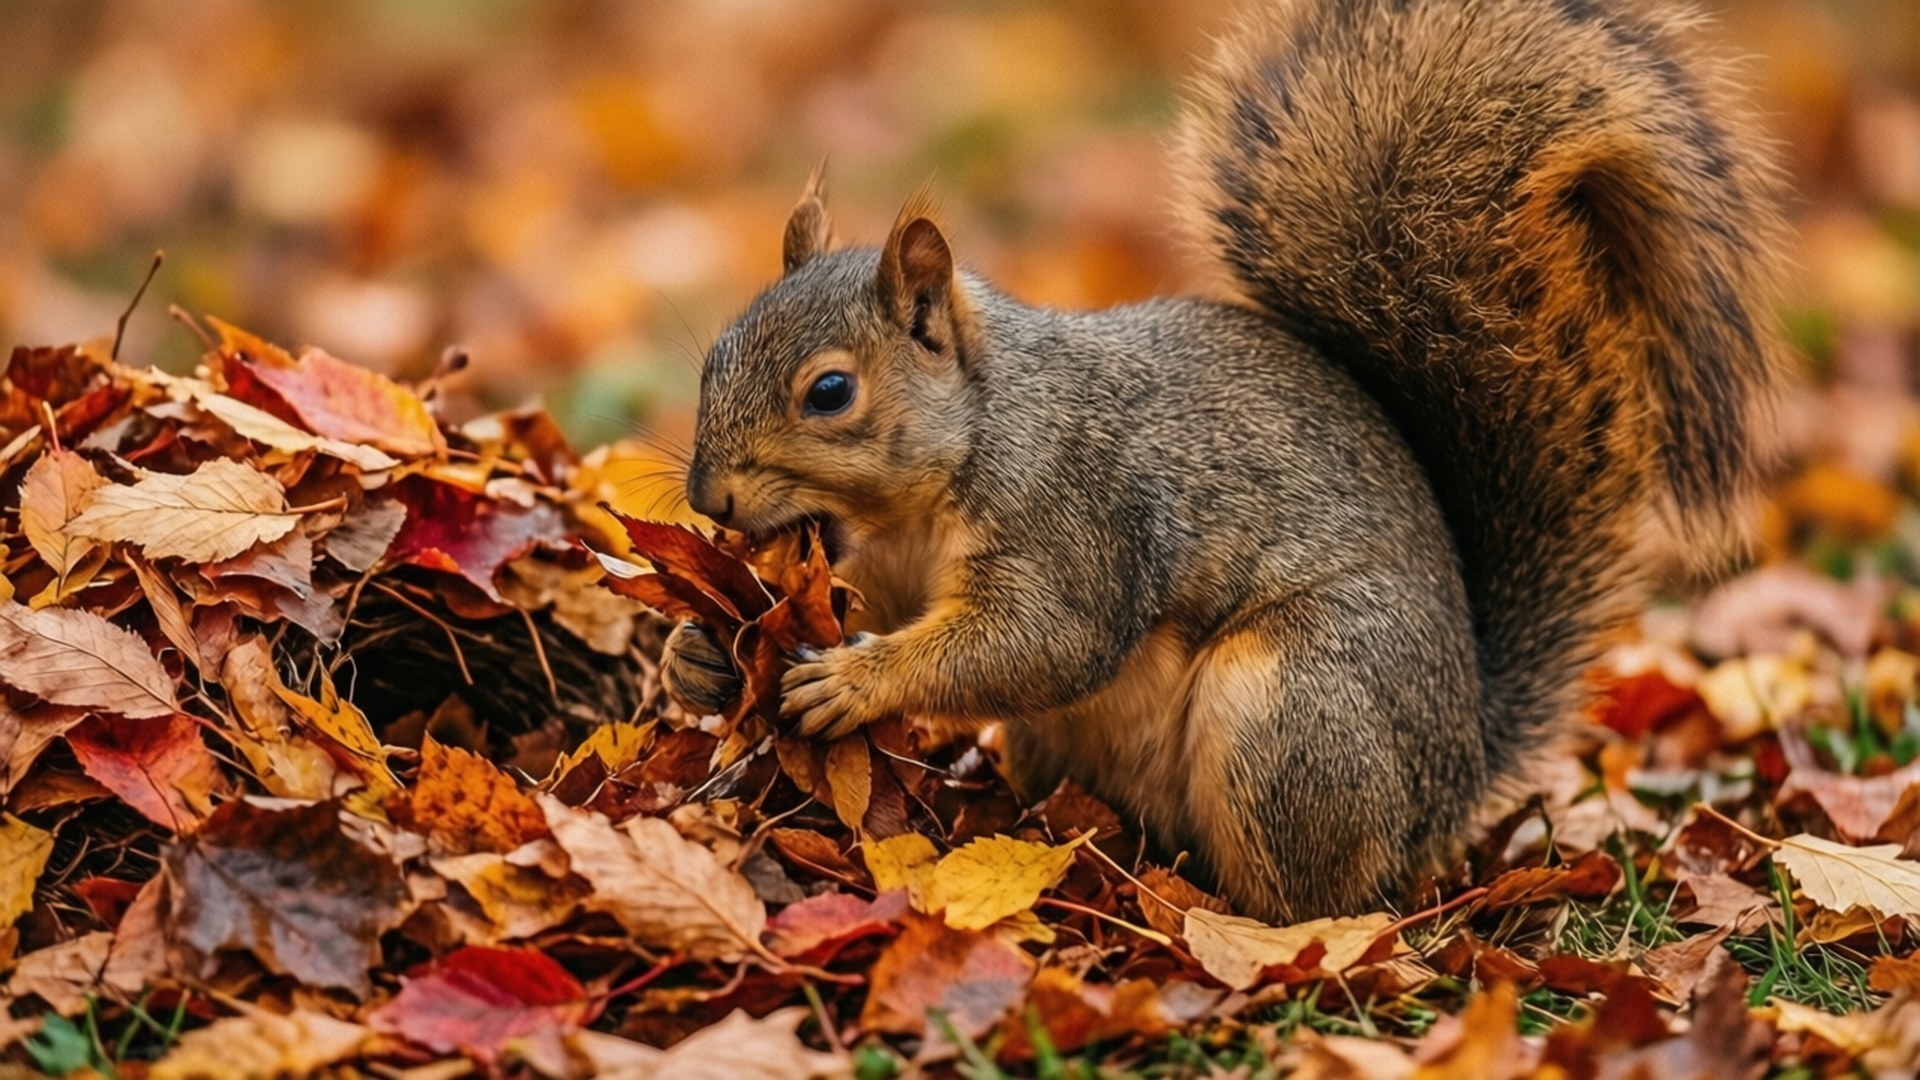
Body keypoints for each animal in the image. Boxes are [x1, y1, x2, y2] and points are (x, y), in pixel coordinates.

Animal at [659, 0, 1787, 922]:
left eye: (830, 393)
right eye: (714, 351)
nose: (710, 497)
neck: (962, 453)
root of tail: (1456, 772)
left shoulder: (1077, 519)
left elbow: (1043, 642)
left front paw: (858, 680)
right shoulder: (894, 561)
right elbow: (888, 609)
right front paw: (697, 654)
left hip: (1291, 710)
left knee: (1320, 901)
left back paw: (1214, 920)